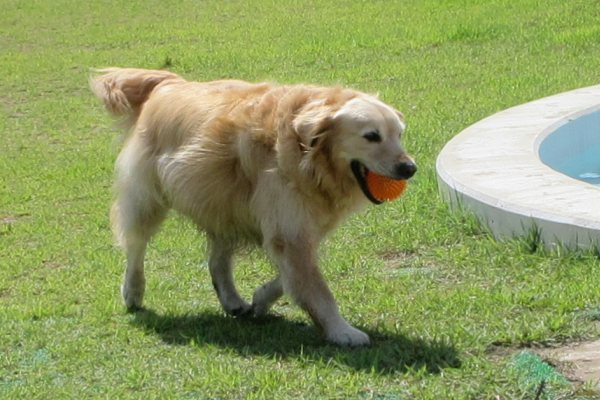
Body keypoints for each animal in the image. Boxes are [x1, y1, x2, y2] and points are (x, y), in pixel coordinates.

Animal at [90, 68, 416, 346]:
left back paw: (232, 300)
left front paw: (261, 298)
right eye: (371, 136)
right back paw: (133, 292)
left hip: (221, 203)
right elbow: (317, 288)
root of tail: (168, 83)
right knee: (136, 246)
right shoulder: (290, 231)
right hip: (148, 199)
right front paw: (342, 331)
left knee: (218, 261)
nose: (410, 168)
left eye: (399, 134)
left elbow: (290, 279)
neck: (307, 156)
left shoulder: (298, 227)